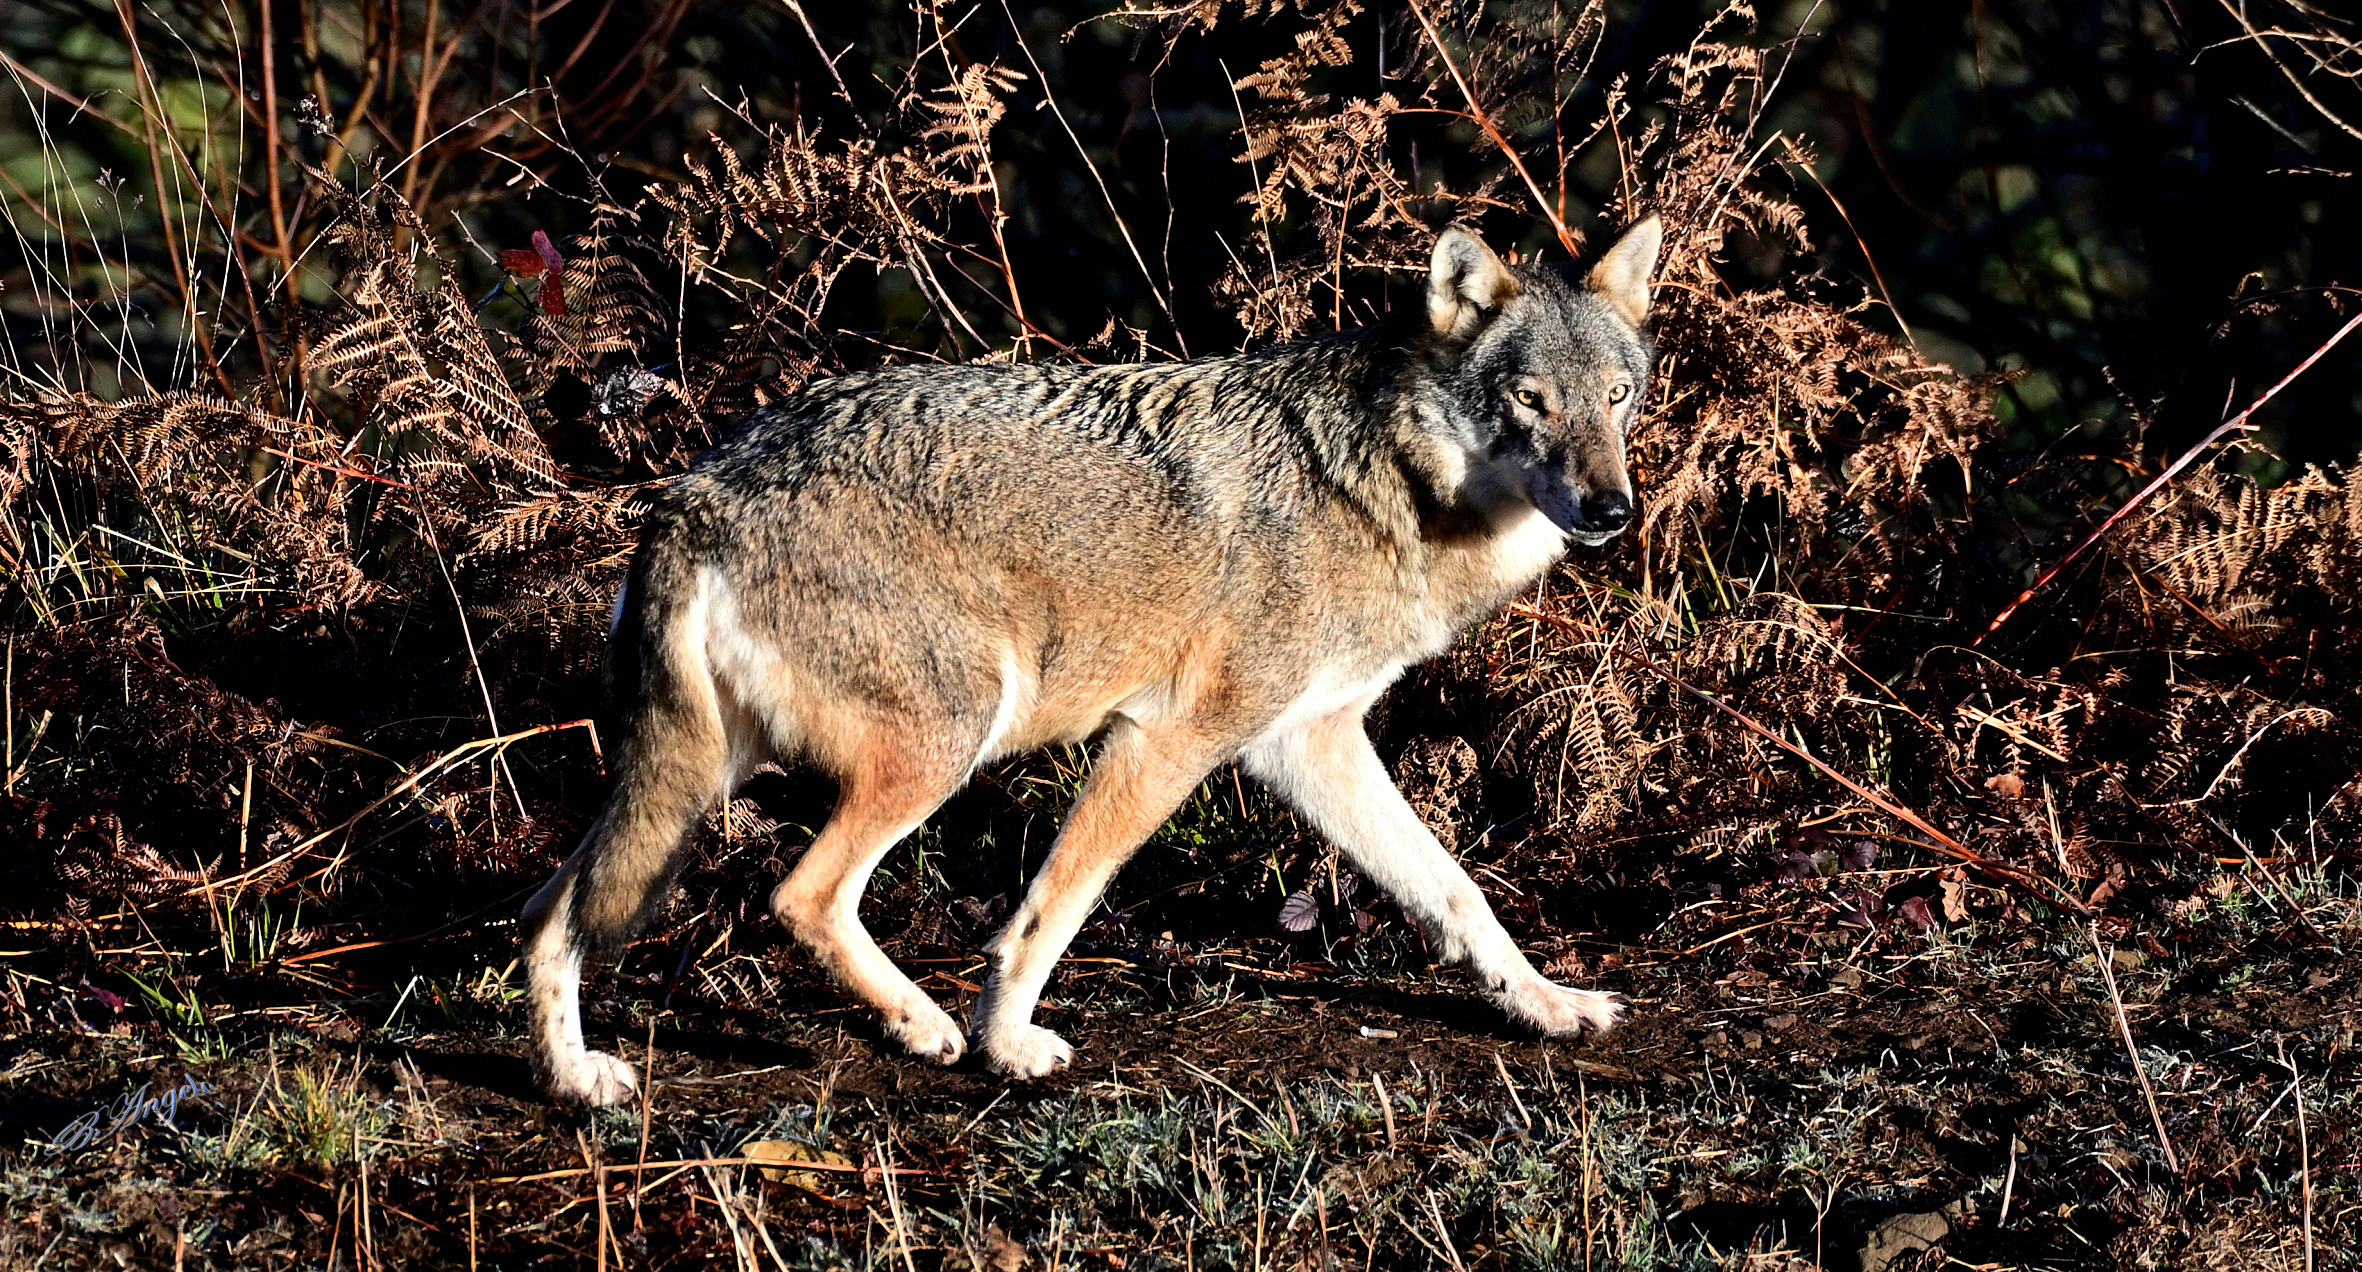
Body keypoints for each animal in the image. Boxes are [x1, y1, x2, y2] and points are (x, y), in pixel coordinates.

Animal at [520, 217, 1663, 1104]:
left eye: (1615, 397)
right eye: (1530, 401)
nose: (1612, 509)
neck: (1388, 483)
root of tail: (695, 490)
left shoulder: (1308, 745)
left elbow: (1458, 893)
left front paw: (1548, 1005)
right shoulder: (1167, 739)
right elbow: (1054, 908)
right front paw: (1007, 1044)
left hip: (695, 783)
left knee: (550, 911)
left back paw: (575, 1080)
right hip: (941, 742)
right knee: (798, 896)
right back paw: (923, 1025)